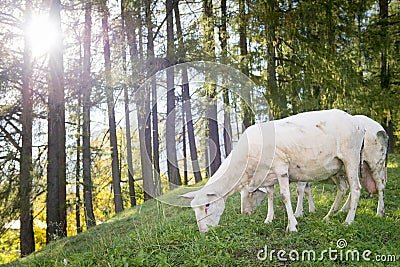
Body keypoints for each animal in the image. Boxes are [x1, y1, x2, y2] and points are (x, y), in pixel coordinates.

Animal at [181, 110, 366, 233]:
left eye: (207, 205)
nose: (203, 232)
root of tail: (356, 122)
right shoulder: (267, 176)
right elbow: (270, 196)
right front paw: (268, 220)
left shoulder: (281, 167)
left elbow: (284, 196)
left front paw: (292, 226)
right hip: (337, 166)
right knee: (343, 188)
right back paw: (328, 217)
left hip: (351, 157)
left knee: (356, 189)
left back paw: (348, 221)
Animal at [241, 115, 388, 224]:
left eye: (251, 194)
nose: (244, 213)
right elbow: (304, 190)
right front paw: (310, 209)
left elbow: (300, 189)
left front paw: (298, 213)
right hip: (350, 168)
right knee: (349, 188)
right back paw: (337, 212)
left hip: (373, 163)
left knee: (376, 186)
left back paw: (376, 213)